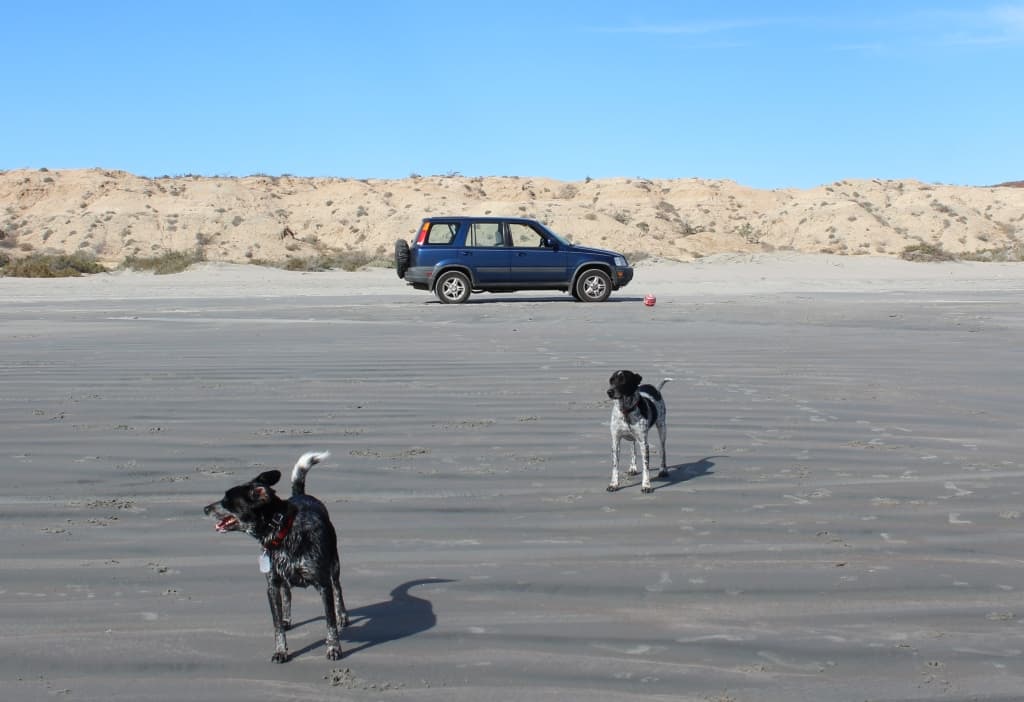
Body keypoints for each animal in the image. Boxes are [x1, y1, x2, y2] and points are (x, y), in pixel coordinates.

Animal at [202, 454, 348, 663]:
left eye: (226, 501)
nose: (205, 508)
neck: (283, 531)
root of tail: (302, 494)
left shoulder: (322, 584)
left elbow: (330, 622)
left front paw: (334, 648)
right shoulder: (271, 586)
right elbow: (277, 625)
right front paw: (280, 650)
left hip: (334, 565)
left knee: (338, 588)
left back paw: (342, 615)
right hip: (283, 581)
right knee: (287, 594)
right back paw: (287, 619)